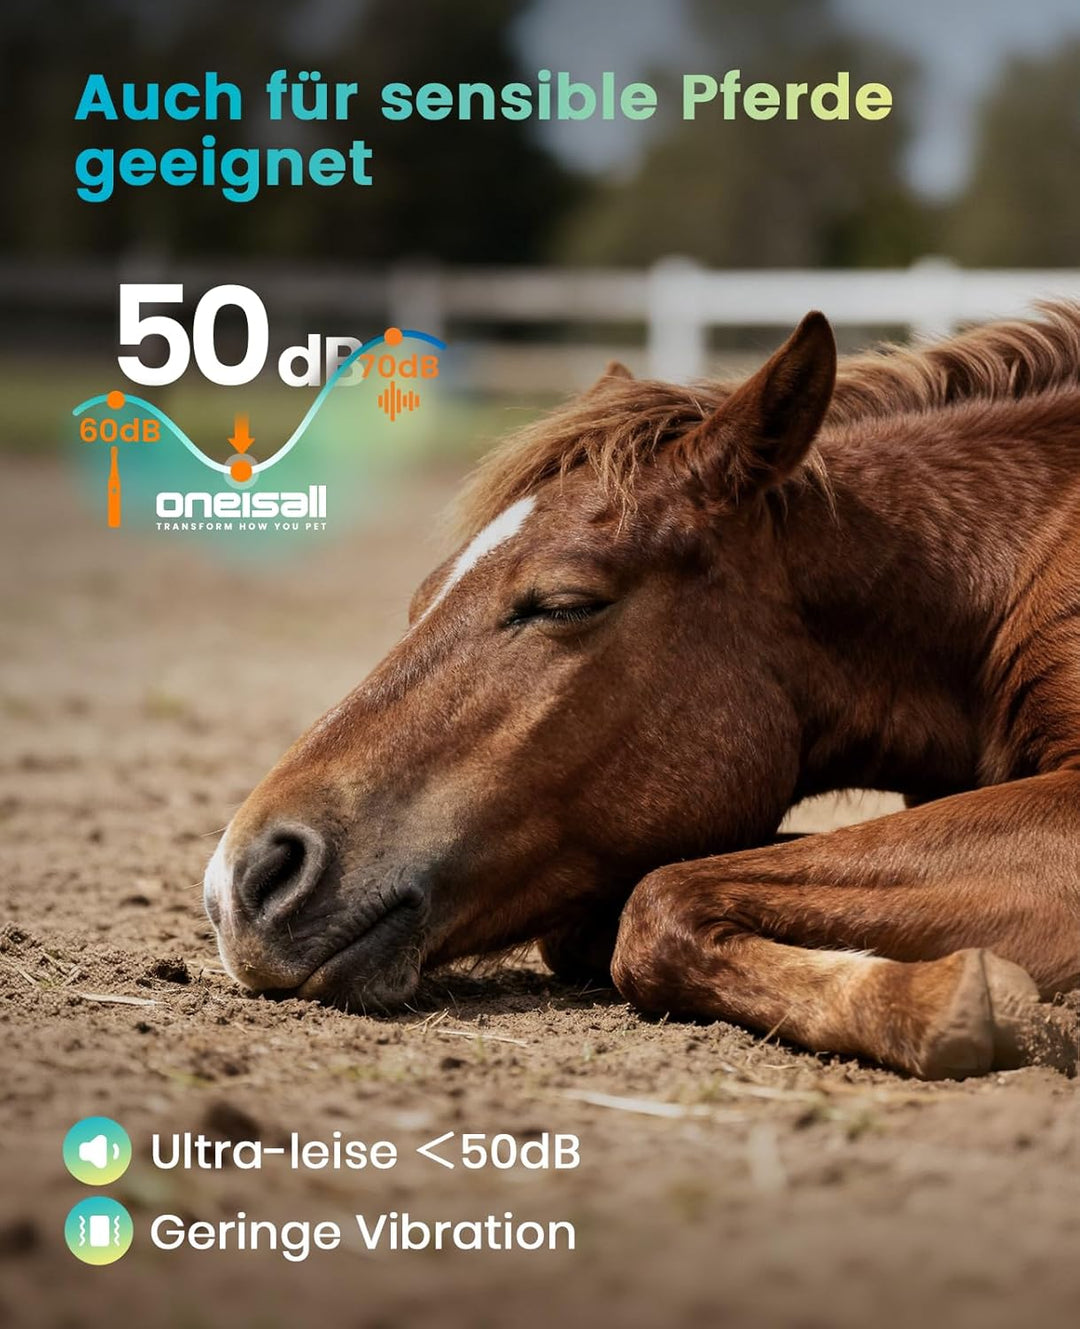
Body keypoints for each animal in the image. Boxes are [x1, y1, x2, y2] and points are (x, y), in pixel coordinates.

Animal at [203, 303, 1080, 1080]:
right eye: (420, 601)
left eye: (564, 603)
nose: (243, 882)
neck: (997, 571)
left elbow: (659, 899)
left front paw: (959, 998)